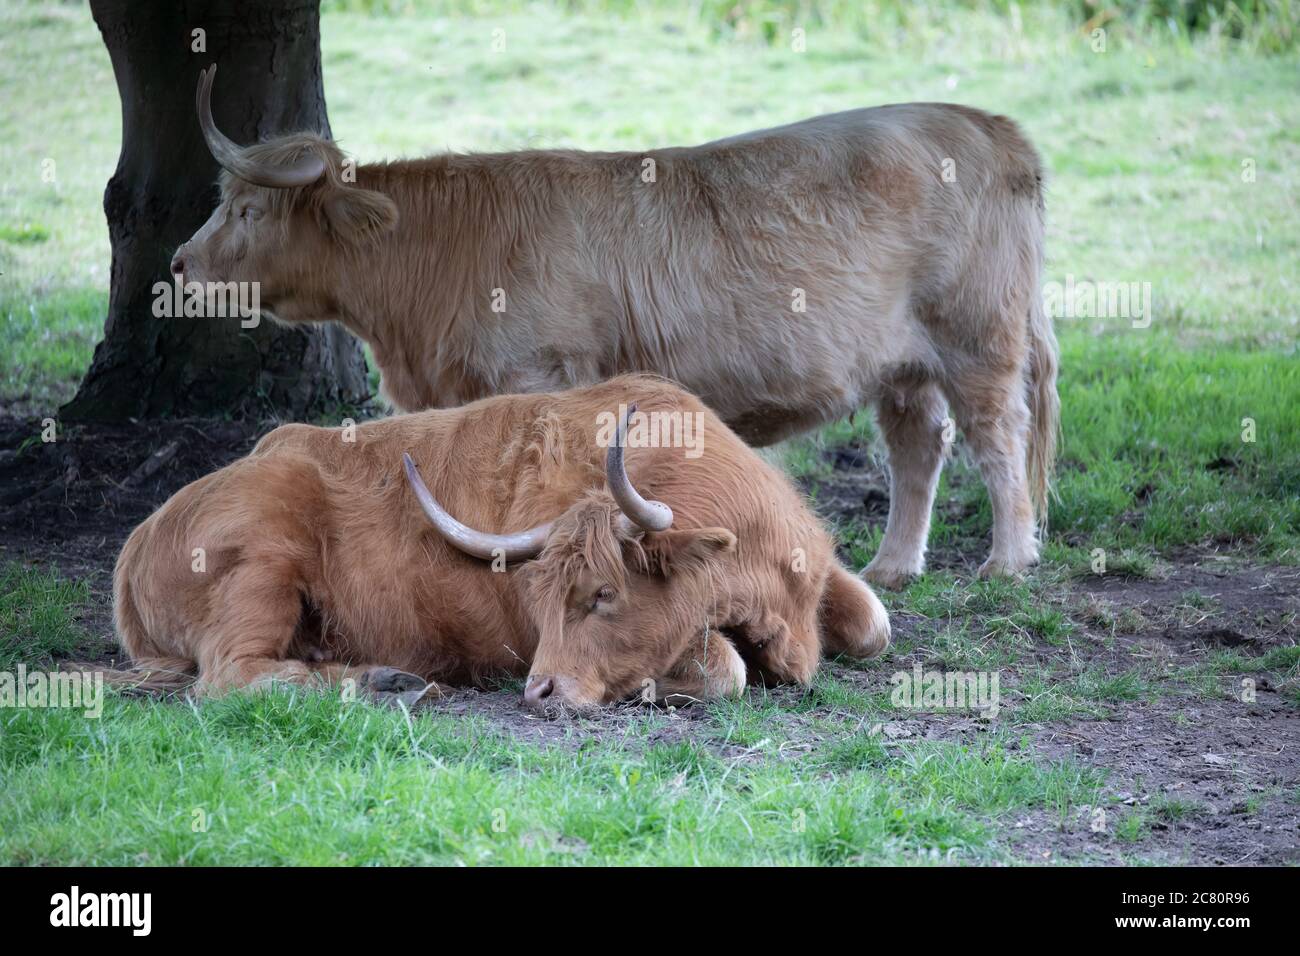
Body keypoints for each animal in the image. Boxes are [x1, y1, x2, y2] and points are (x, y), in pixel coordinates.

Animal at [110, 375, 890, 711]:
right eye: (541, 599)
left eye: (603, 594)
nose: (537, 689)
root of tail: (138, 540)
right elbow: (725, 667)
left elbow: (874, 623)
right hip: (261, 566)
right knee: (229, 675)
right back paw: (383, 680)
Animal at [171, 64, 1059, 589]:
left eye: (247, 209)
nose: (179, 263)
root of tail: (987, 124)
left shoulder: (538, 377)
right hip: (904, 362)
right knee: (920, 444)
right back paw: (895, 564)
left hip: (978, 334)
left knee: (998, 435)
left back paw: (1008, 560)